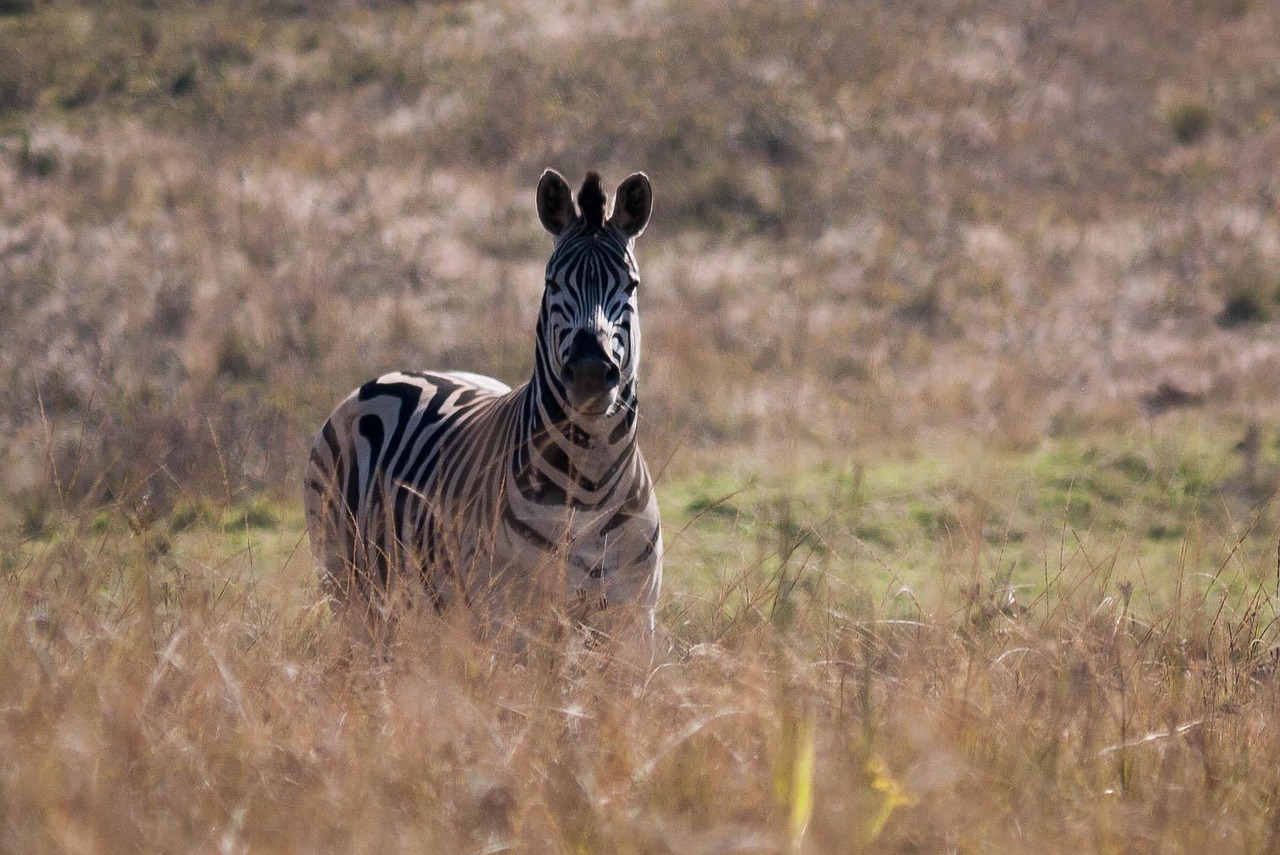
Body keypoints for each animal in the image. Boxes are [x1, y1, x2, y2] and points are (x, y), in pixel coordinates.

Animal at [299, 170, 660, 655]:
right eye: (551, 283)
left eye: (631, 285)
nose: (588, 373)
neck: (590, 486)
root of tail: (394, 373)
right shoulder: (511, 623)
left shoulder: (634, 624)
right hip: (348, 588)